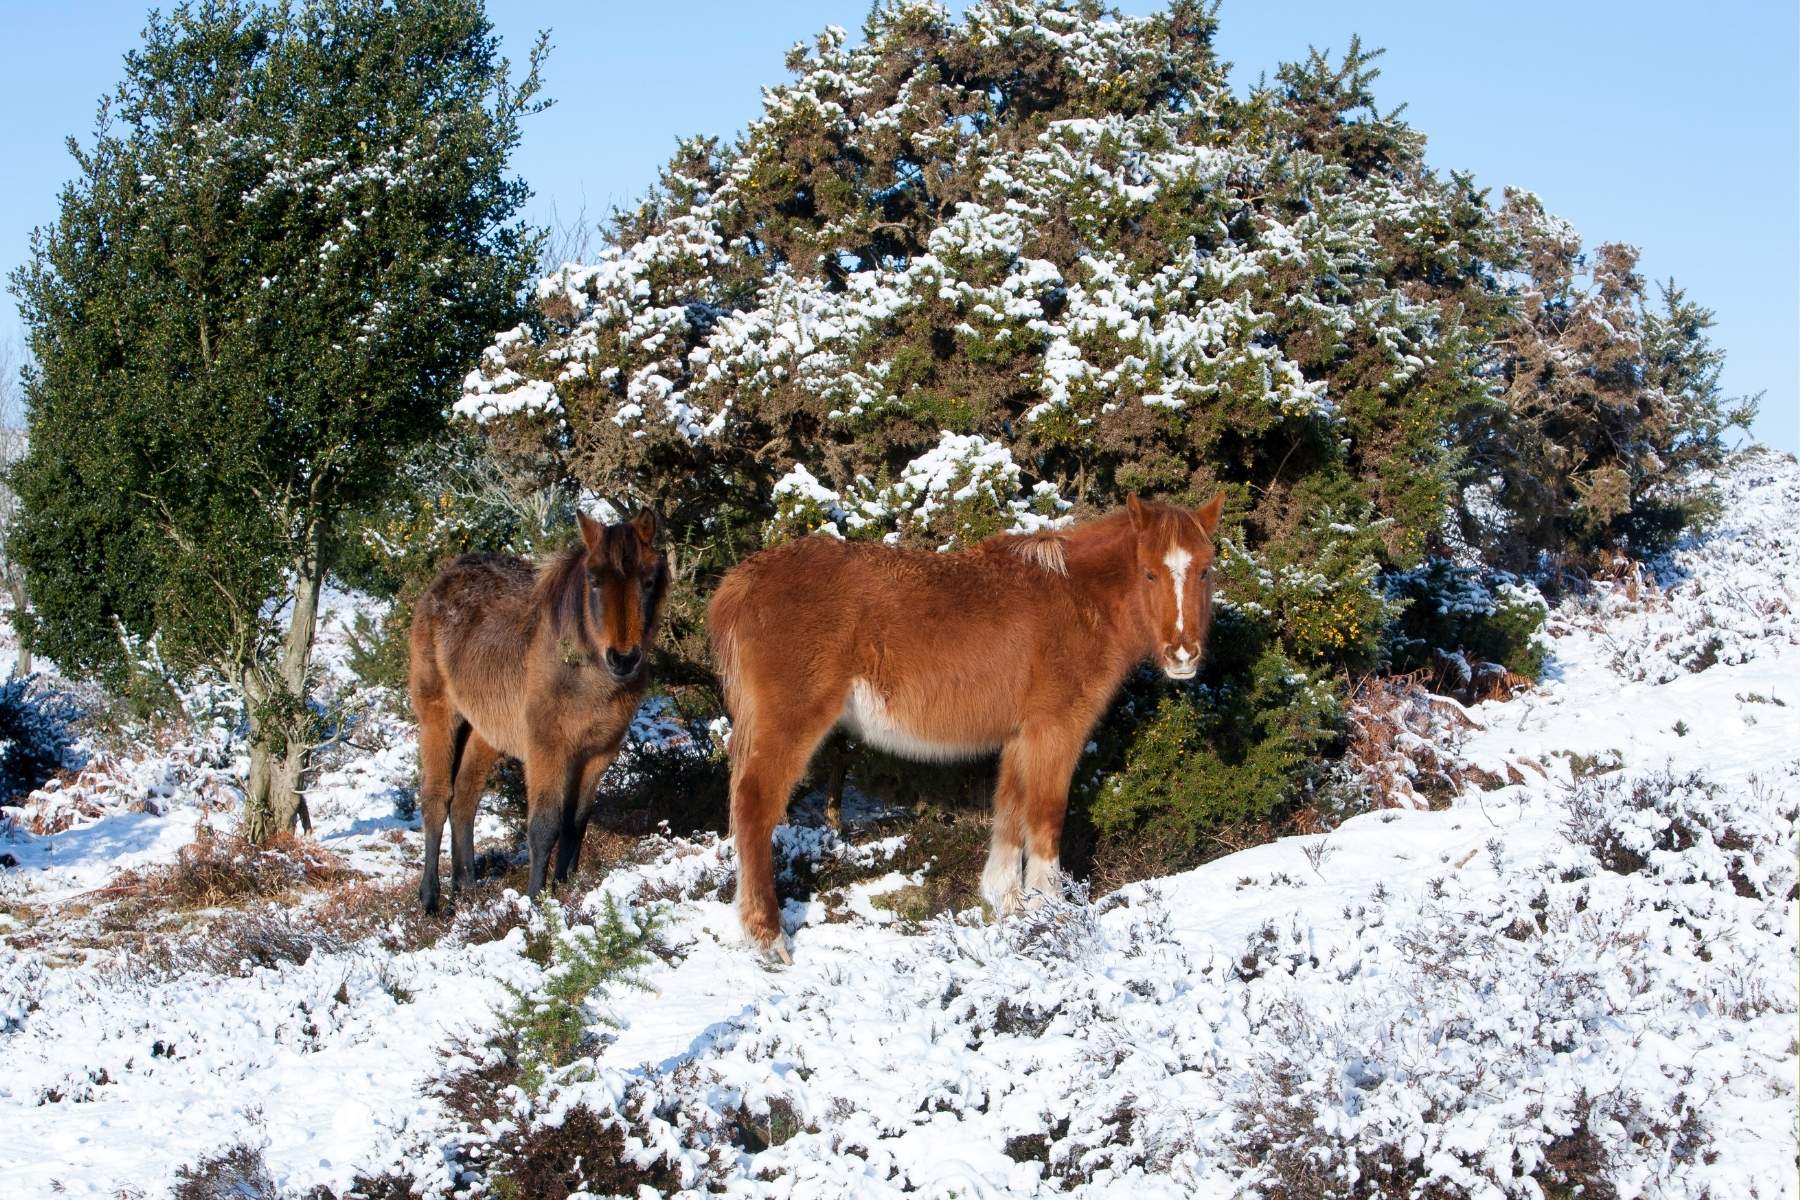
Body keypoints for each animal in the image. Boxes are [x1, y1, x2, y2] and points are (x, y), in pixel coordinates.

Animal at [408, 510, 669, 912]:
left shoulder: (598, 753)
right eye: (594, 580)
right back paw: (430, 899)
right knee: (437, 799)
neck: (583, 671)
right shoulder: (548, 748)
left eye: (649, 580)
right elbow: (545, 825)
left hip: (485, 730)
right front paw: (536, 902)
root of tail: (444, 578)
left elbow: (576, 821)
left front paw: (566, 887)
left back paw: (467, 887)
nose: (623, 659)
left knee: (465, 799)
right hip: (438, 717)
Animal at [709, 492, 1225, 960]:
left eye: (1204, 569)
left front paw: (1008, 904)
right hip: (789, 722)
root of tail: (744, 581)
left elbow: (1011, 811)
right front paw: (1054, 909)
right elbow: (1046, 813)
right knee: (754, 806)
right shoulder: (1056, 730)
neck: (1078, 597)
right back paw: (768, 937)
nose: (1183, 655)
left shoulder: (1020, 735)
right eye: (1149, 572)